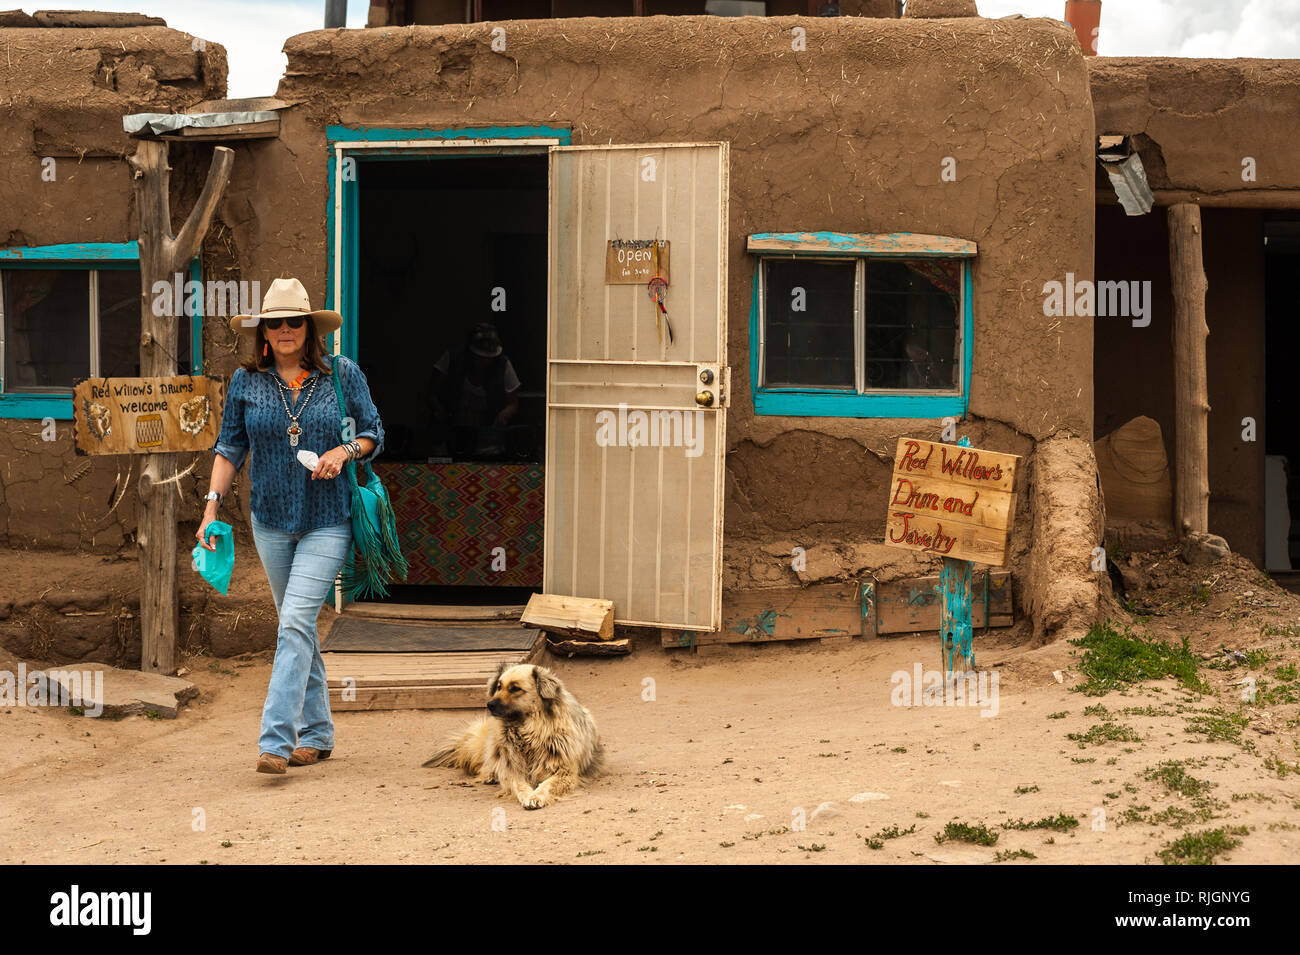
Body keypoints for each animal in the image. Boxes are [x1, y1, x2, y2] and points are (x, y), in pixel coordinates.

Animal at [421, 665, 603, 805]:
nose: (489, 704)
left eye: (515, 689)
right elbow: (518, 785)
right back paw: (490, 775)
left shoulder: (565, 772)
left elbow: (547, 784)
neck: (529, 732)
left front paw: (536, 796)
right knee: (485, 763)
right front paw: (527, 795)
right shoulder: (512, 769)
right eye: (498, 686)